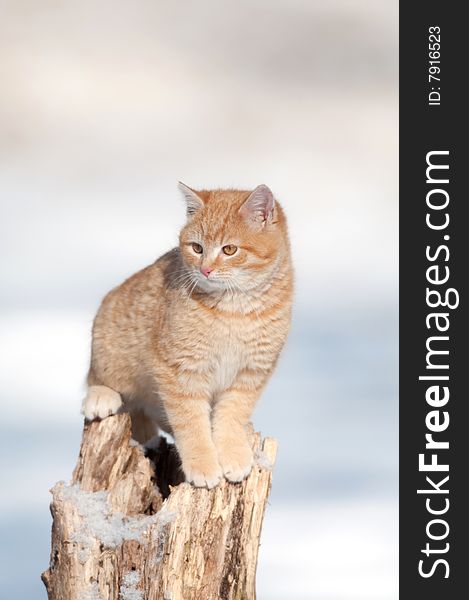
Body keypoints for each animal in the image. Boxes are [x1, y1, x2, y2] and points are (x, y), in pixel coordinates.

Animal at [82, 183, 290, 488]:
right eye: (196, 248)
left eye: (229, 249)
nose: (205, 269)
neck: (235, 310)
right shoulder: (180, 370)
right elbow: (191, 423)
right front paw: (202, 464)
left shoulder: (252, 372)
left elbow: (232, 415)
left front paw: (233, 454)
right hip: (110, 341)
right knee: (98, 378)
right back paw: (101, 397)